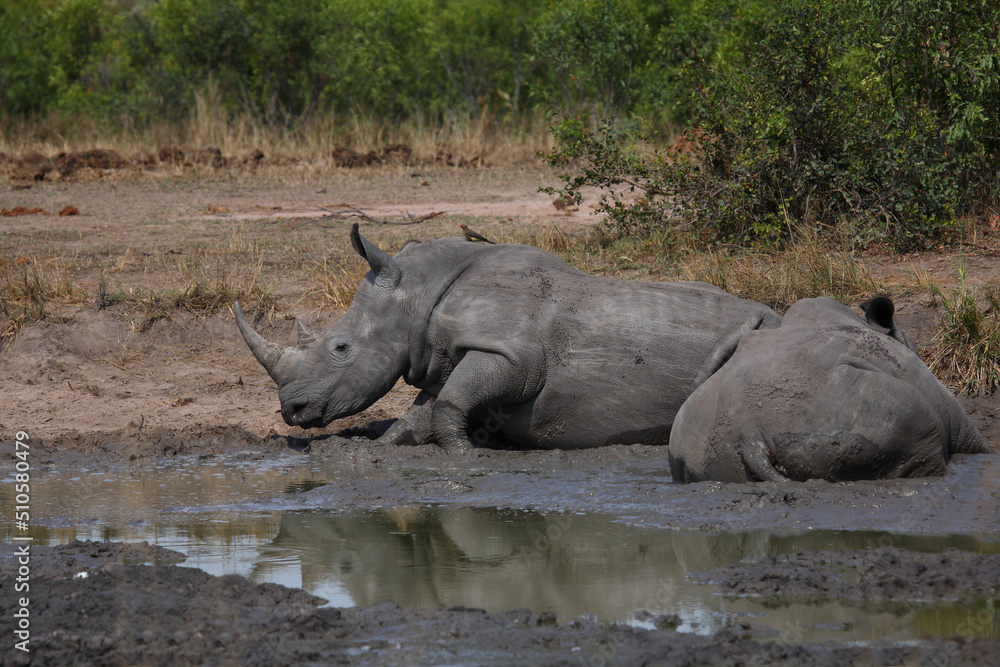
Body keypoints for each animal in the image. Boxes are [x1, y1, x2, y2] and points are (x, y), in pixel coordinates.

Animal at [234, 223, 781, 452]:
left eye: (341, 348)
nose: (292, 412)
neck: (421, 293)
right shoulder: (447, 358)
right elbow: (424, 406)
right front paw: (384, 448)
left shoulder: (514, 354)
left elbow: (451, 402)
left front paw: (462, 454)